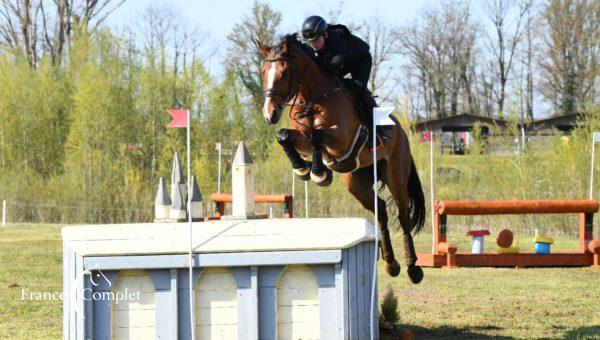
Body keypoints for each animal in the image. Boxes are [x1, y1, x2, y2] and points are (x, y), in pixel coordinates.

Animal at [258, 33, 426, 284]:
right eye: (263, 71)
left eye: (285, 72)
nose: (270, 114)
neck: (314, 98)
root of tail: (401, 130)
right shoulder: (302, 137)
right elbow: (285, 135)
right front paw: (303, 169)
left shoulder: (342, 140)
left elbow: (317, 136)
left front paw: (318, 173)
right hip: (357, 182)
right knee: (381, 210)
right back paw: (390, 264)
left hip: (396, 176)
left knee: (403, 215)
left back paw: (413, 268)